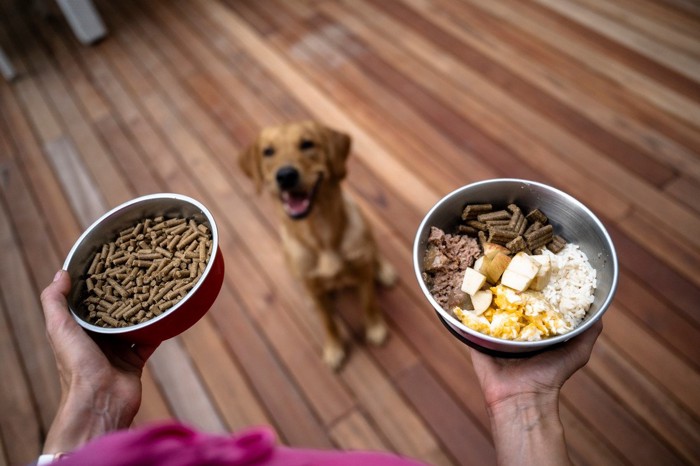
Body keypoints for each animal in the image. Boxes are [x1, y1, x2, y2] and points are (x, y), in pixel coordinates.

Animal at [239, 122, 394, 370]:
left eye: (307, 144)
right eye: (268, 151)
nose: (286, 175)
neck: (321, 233)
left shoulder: (362, 274)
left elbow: (369, 302)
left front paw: (375, 328)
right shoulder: (315, 287)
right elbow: (328, 321)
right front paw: (334, 348)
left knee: (373, 255)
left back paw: (383, 270)